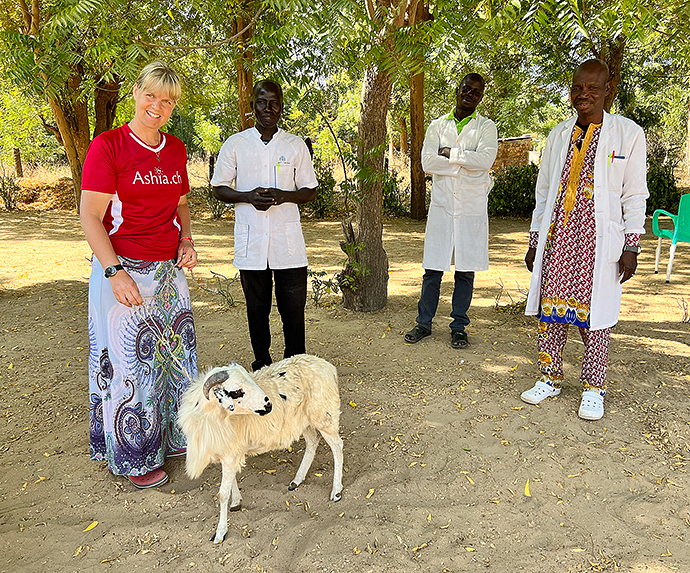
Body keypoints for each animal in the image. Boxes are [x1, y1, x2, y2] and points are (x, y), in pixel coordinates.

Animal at [175, 350, 342, 544]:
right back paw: (297, 480)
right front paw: (236, 502)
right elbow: (231, 483)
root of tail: (327, 366)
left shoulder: (230, 455)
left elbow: (222, 495)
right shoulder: (228, 451)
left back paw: (337, 491)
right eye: (236, 392)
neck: (210, 416)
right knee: (312, 443)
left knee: (337, 446)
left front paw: (220, 533)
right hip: (304, 421)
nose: (268, 404)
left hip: (324, 416)